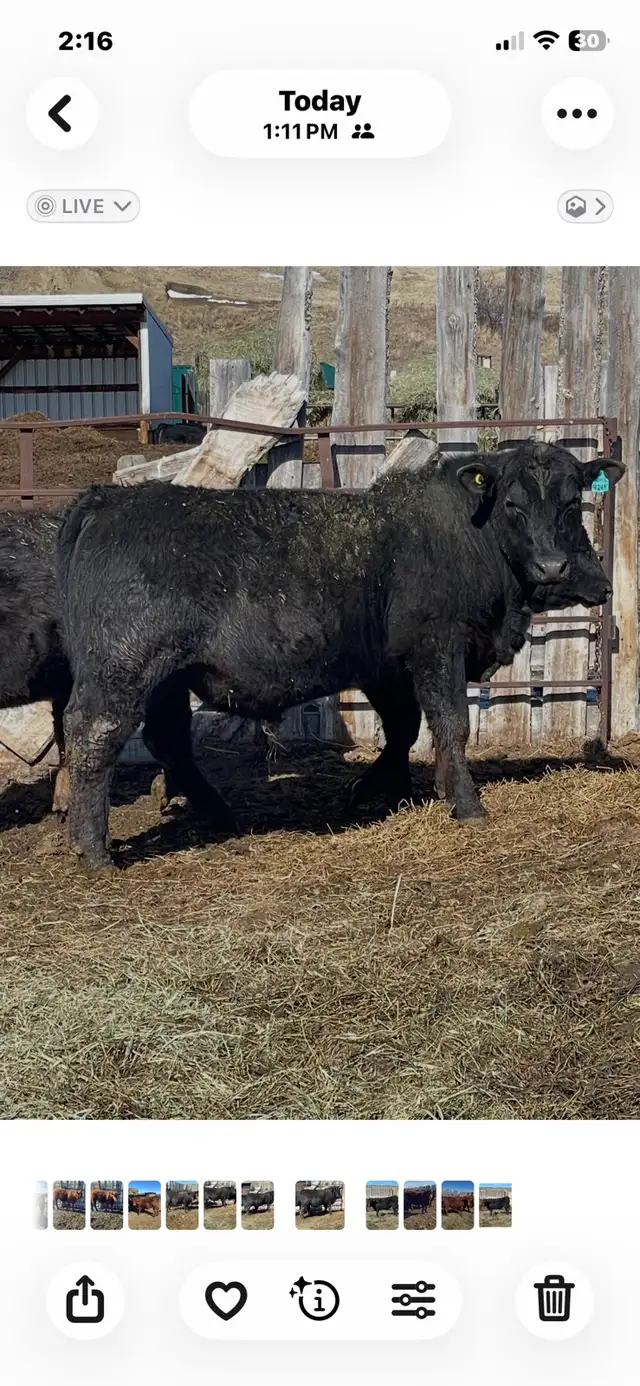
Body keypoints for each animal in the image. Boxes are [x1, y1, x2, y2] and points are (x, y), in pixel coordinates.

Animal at [56, 442, 624, 868]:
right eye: (513, 504)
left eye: (571, 504)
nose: (552, 566)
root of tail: (109, 500)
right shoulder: (437, 646)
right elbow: (450, 723)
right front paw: (465, 802)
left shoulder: (387, 667)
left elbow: (404, 729)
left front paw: (386, 787)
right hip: (122, 671)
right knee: (93, 737)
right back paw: (94, 851)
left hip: (167, 678)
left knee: (168, 741)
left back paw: (221, 816)